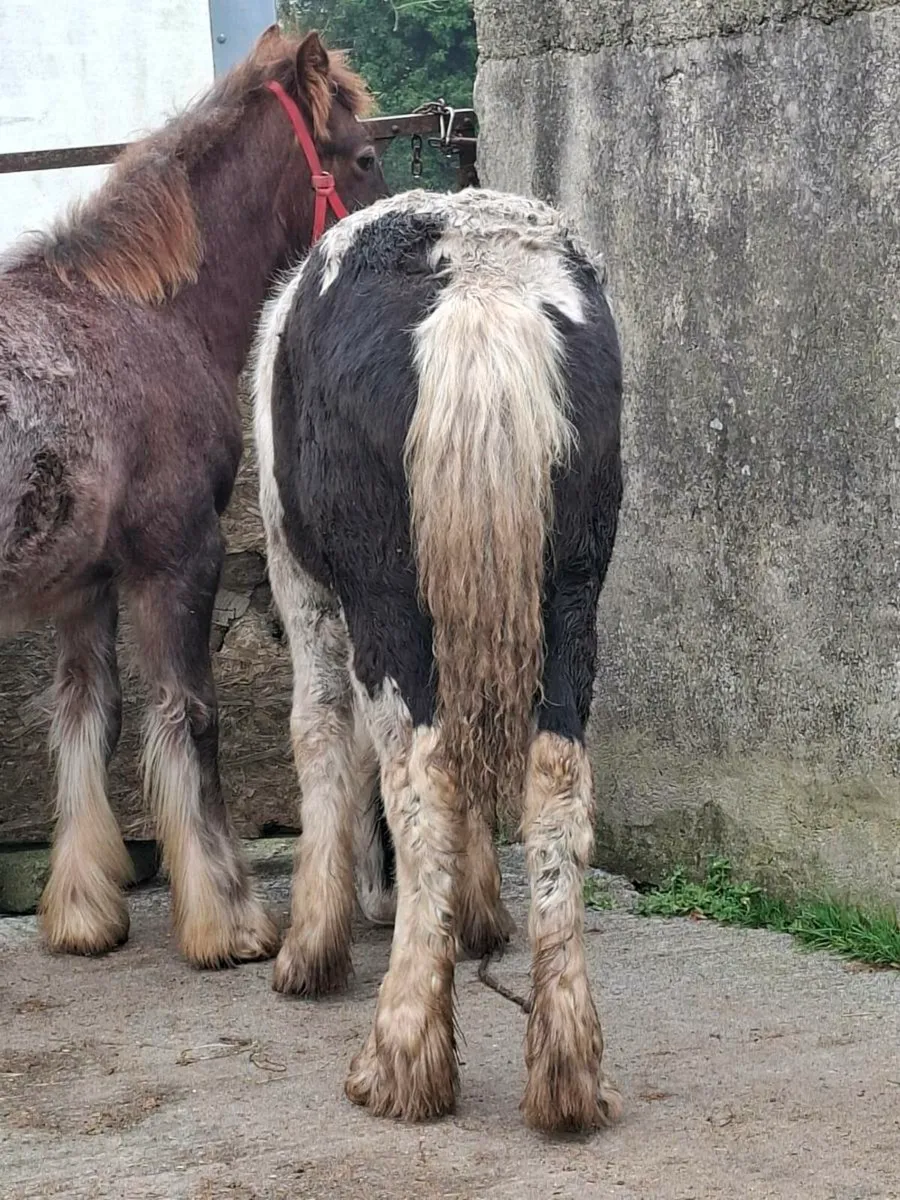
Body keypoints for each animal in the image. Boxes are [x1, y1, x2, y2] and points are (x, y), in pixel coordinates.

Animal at [0, 26, 387, 968]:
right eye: (362, 155)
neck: (145, 315)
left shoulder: (86, 586)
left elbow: (86, 718)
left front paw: (83, 909)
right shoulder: (181, 558)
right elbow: (190, 717)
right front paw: (228, 918)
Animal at [252, 187, 625, 1133]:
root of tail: (479, 284)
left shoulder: (306, 593)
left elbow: (320, 737)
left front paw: (313, 944)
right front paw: (482, 915)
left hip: (384, 593)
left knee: (422, 772)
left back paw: (402, 1054)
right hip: (568, 586)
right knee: (550, 772)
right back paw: (566, 1069)